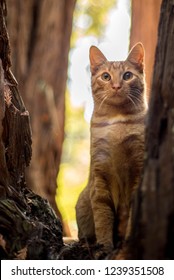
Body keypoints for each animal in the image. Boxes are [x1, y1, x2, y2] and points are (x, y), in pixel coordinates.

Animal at [75, 42, 147, 253]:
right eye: (106, 76)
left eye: (127, 75)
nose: (116, 86)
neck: (117, 123)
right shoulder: (100, 176)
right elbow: (102, 216)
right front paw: (105, 246)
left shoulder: (138, 169)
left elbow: (131, 211)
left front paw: (128, 240)